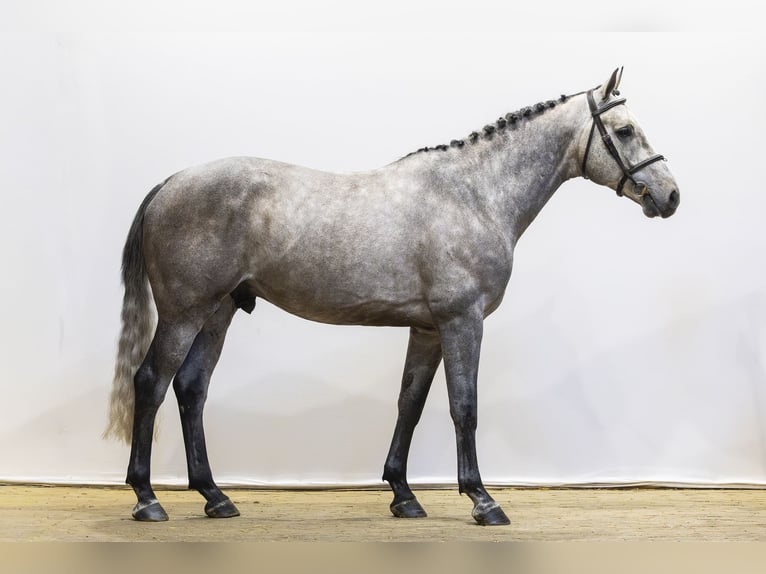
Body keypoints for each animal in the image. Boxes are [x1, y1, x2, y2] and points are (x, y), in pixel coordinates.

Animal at [105, 68, 679, 526]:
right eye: (625, 130)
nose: (670, 195)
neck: (474, 195)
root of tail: (170, 183)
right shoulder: (462, 321)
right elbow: (463, 406)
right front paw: (482, 500)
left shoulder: (426, 328)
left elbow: (411, 403)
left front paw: (403, 495)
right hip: (184, 313)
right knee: (151, 383)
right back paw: (147, 499)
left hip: (218, 313)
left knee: (191, 389)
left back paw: (215, 496)